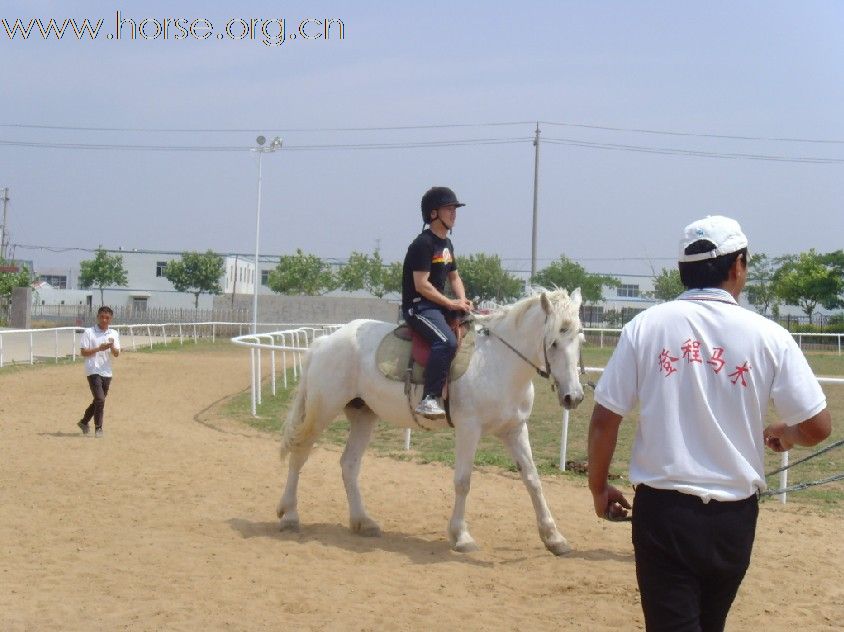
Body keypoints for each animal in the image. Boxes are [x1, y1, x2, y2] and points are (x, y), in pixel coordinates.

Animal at [276, 288, 588, 556]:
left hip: (364, 416)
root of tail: (325, 341)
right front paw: (461, 536)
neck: (498, 362)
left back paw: (363, 521)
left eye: (580, 340)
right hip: (323, 409)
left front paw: (554, 537)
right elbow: (463, 481)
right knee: (300, 453)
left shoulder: (515, 429)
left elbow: (533, 480)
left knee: (349, 465)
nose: (573, 397)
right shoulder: (469, 429)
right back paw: (290, 515)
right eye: (553, 342)